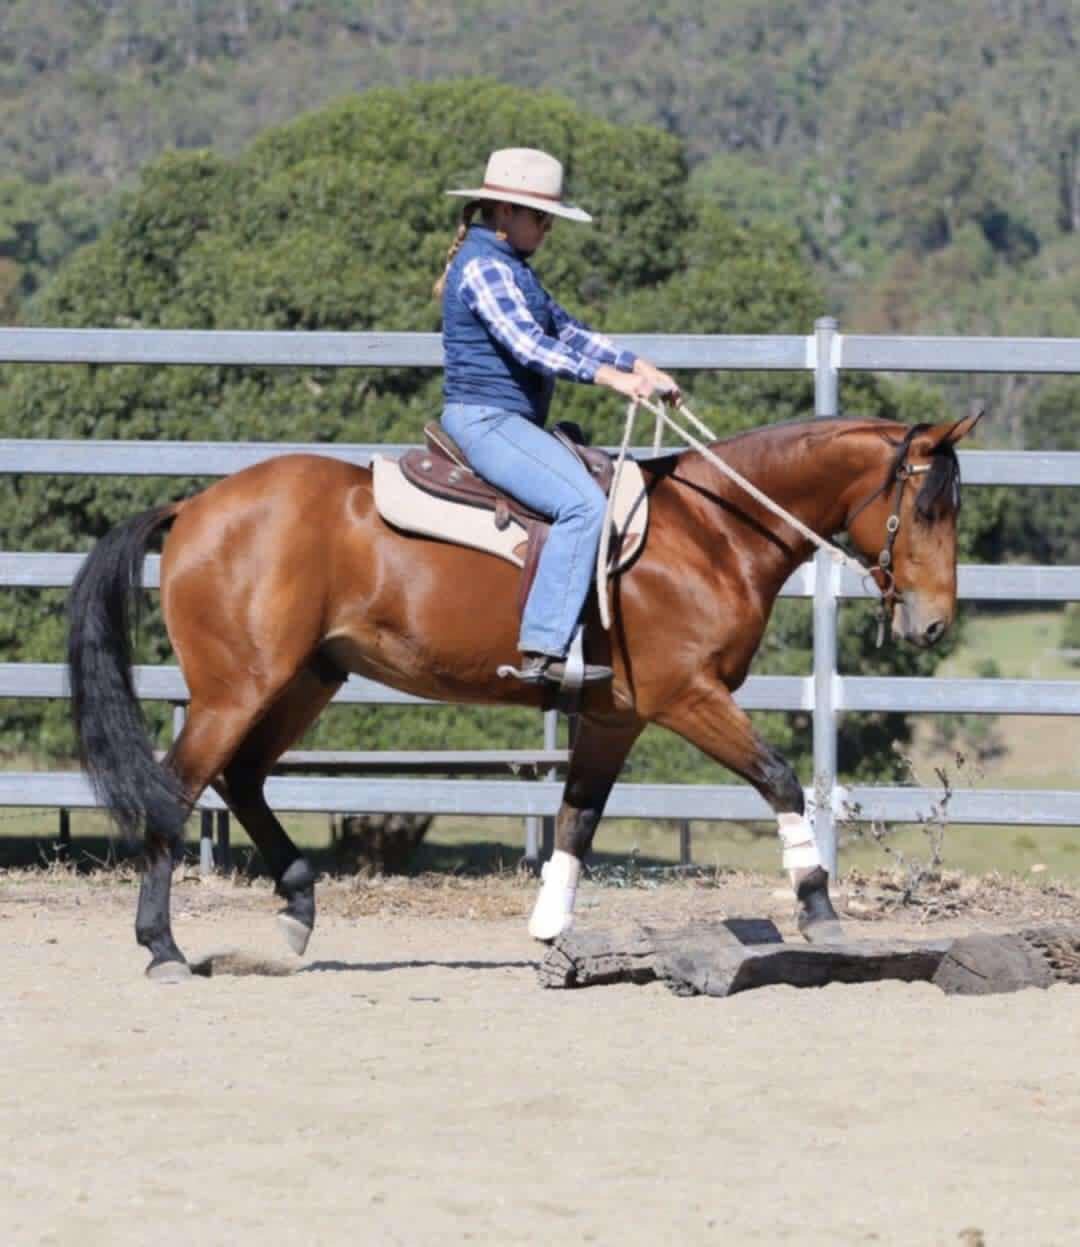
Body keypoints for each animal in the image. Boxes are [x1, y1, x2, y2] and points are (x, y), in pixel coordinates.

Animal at [67, 405, 982, 979]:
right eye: (928, 508)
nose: (934, 622)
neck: (711, 531)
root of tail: (194, 504)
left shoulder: (614, 717)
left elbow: (577, 815)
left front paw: (551, 928)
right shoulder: (687, 697)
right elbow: (781, 777)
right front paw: (818, 902)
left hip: (304, 680)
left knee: (243, 776)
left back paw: (296, 907)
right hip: (239, 687)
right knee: (177, 788)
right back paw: (162, 947)